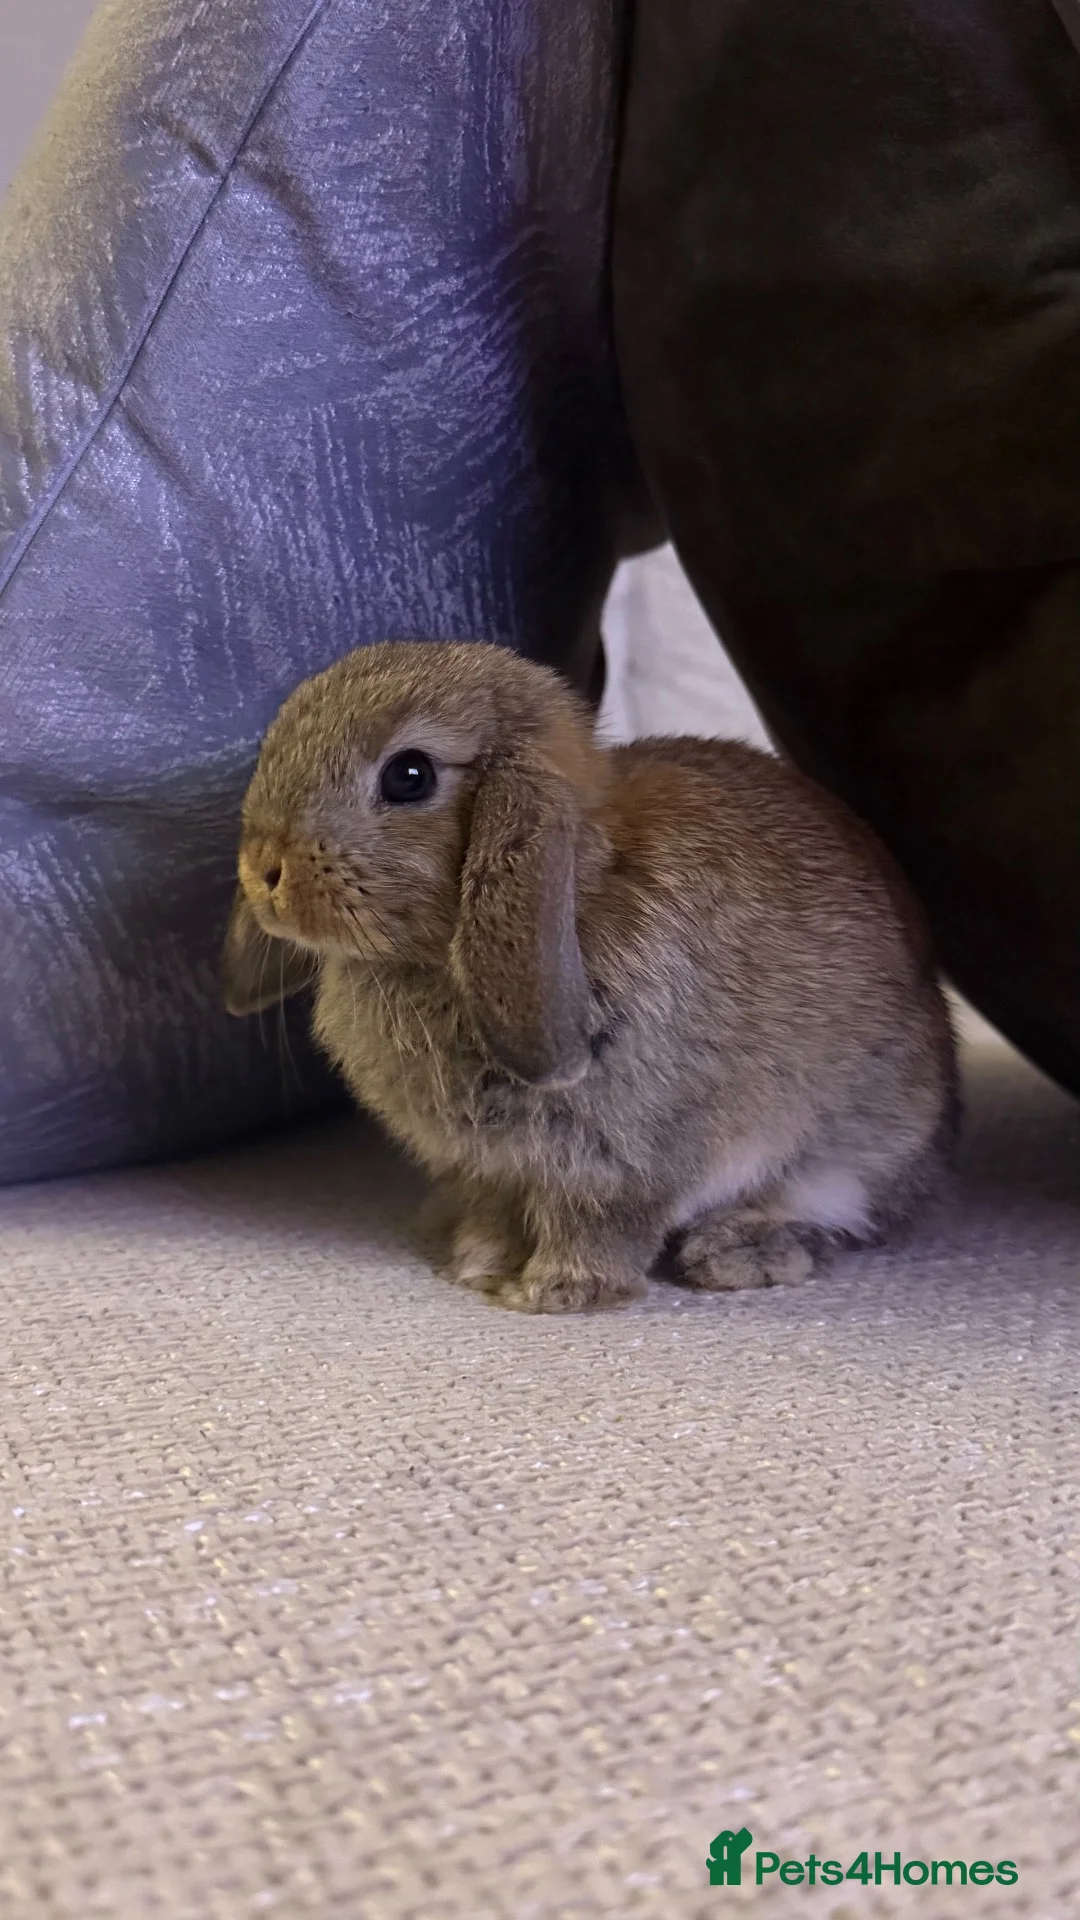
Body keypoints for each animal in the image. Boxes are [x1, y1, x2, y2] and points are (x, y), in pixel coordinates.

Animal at [222, 639, 958, 1313]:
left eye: (409, 775)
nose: (262, 870)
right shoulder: (487, 1168)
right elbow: (496, 1212)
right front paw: (480, 1267)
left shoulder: (627, 1156)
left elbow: (599, 1221)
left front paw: (560, 1292)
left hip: (845, 1148)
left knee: (838, 1212)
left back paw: (736, 1253)